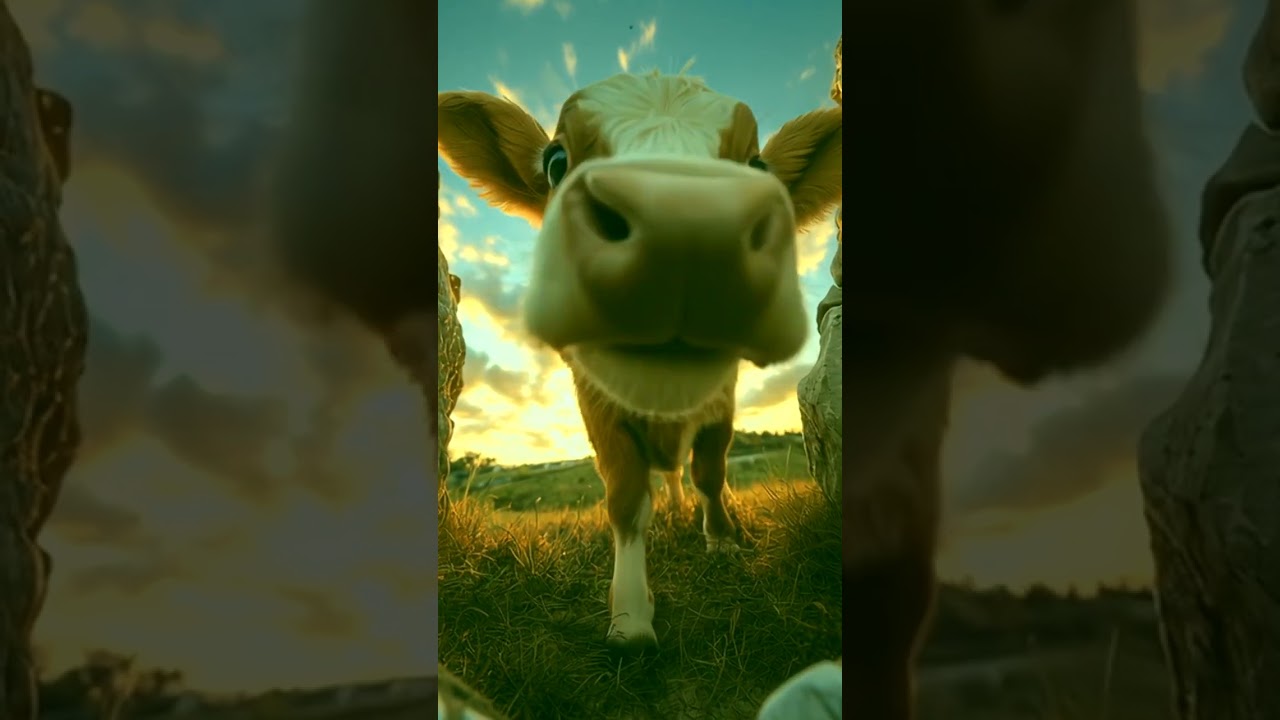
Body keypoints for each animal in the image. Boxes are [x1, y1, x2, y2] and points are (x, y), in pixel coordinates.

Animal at [438, 71, 842, 651]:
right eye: (556, 162)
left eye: (757, 165)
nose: (684, 224)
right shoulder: (597, 411)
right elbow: (627, 500)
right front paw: (630, 616)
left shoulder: (721, 406)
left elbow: (710, 472)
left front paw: (722, 540)